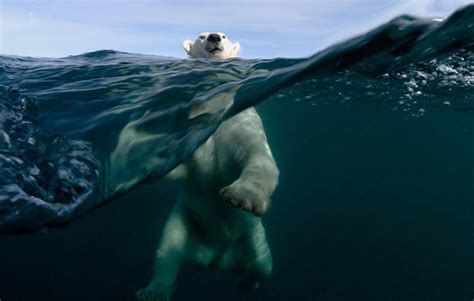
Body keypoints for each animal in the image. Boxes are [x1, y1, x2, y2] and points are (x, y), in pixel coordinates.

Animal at [135, 31, 280, 298]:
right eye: (201, 36)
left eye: (224, 35)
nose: (213, 38)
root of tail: (216, 258)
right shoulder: (191, 127)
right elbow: (181, 167)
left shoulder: (239, 121)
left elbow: (257, 155)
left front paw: (241, 196)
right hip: (184, 221)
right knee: (167, 252)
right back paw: (152, 292)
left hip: (252, 235)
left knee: (262, 263)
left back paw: (246, 280)